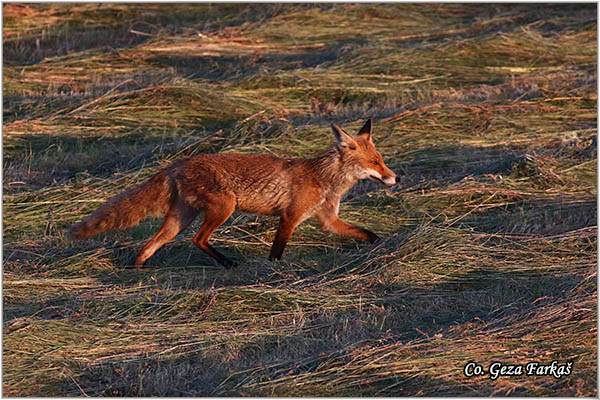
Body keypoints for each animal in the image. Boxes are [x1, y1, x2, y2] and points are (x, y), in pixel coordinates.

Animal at [69, 119, 398, 268]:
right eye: (375, 162)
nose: (394, 177)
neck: (324, 178)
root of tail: (179, 162)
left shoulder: (328, 220)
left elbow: (366, 232)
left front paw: (382, 246)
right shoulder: (290, 217)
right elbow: (277, 250)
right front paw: (273, 271)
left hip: (179, 219)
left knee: (150, 245)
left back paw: (137, 270)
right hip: (223, 208)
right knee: (198, 240)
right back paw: (227, 263)